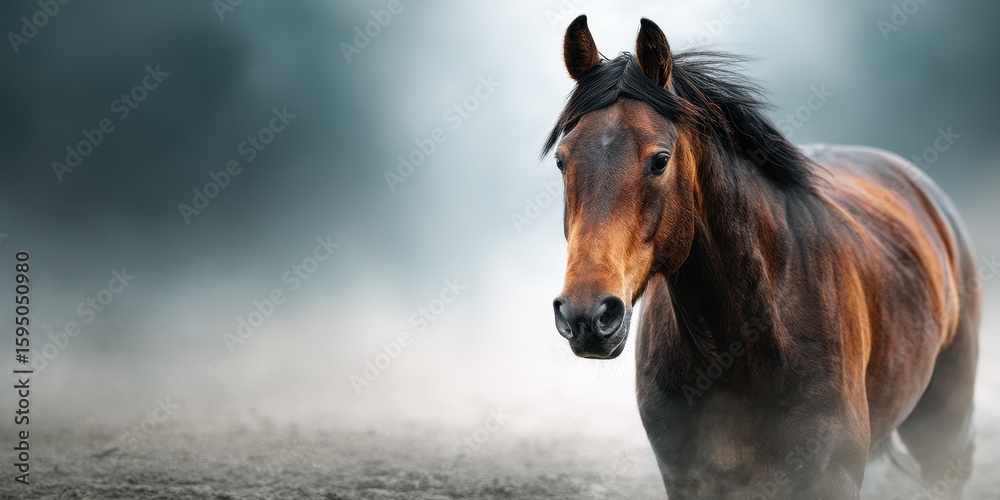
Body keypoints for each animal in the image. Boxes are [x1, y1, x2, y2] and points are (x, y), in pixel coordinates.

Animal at [545, 16, 980, 499]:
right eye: (562, 160)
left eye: (659, 160)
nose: (586, 316)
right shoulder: (687, 480)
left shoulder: (833, 478)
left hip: (944, 431)